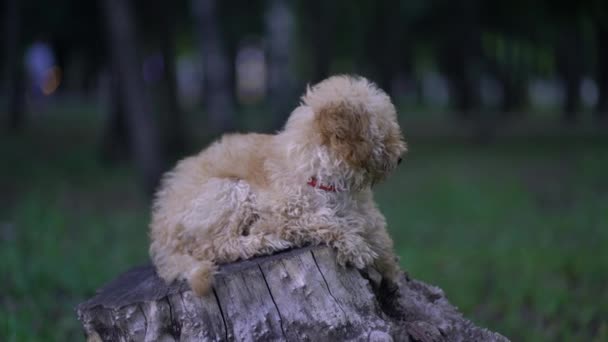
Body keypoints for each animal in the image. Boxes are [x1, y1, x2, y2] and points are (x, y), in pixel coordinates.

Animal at [149, 74, 406, 294]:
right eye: (383, 131)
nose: (401, 158)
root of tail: (161, 231)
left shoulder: (365, 213)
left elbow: (380, 236)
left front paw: (391, 273)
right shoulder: (282, 213)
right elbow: (323, 220)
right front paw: (356, 247)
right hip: (228, 190)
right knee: (216, 246)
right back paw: (268, 242)